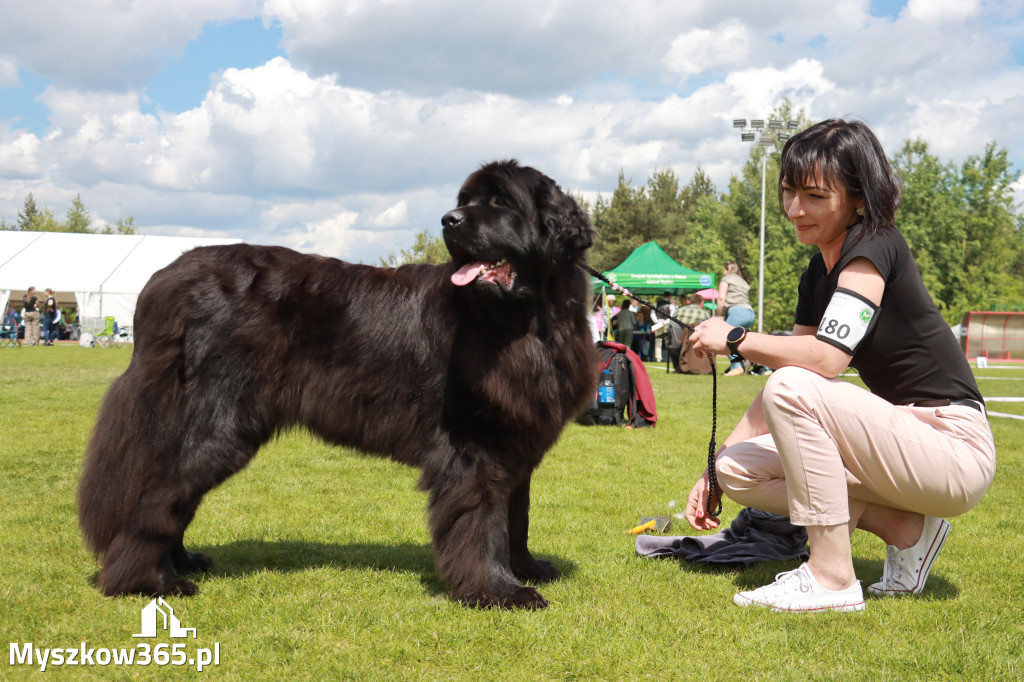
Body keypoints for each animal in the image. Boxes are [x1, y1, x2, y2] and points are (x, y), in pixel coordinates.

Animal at [79, 161, 598, 606]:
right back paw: (148, 581)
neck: (531, 321)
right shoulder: (476, 446)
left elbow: (517, 515)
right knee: (160, 496)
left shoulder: (517, 440)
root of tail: (170, 276)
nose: (448, 220)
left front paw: (527, 568)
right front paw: (498, 591)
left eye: (500, 201)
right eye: (464, 202)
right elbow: (483, 521)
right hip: (219, 423)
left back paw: (181, 562)